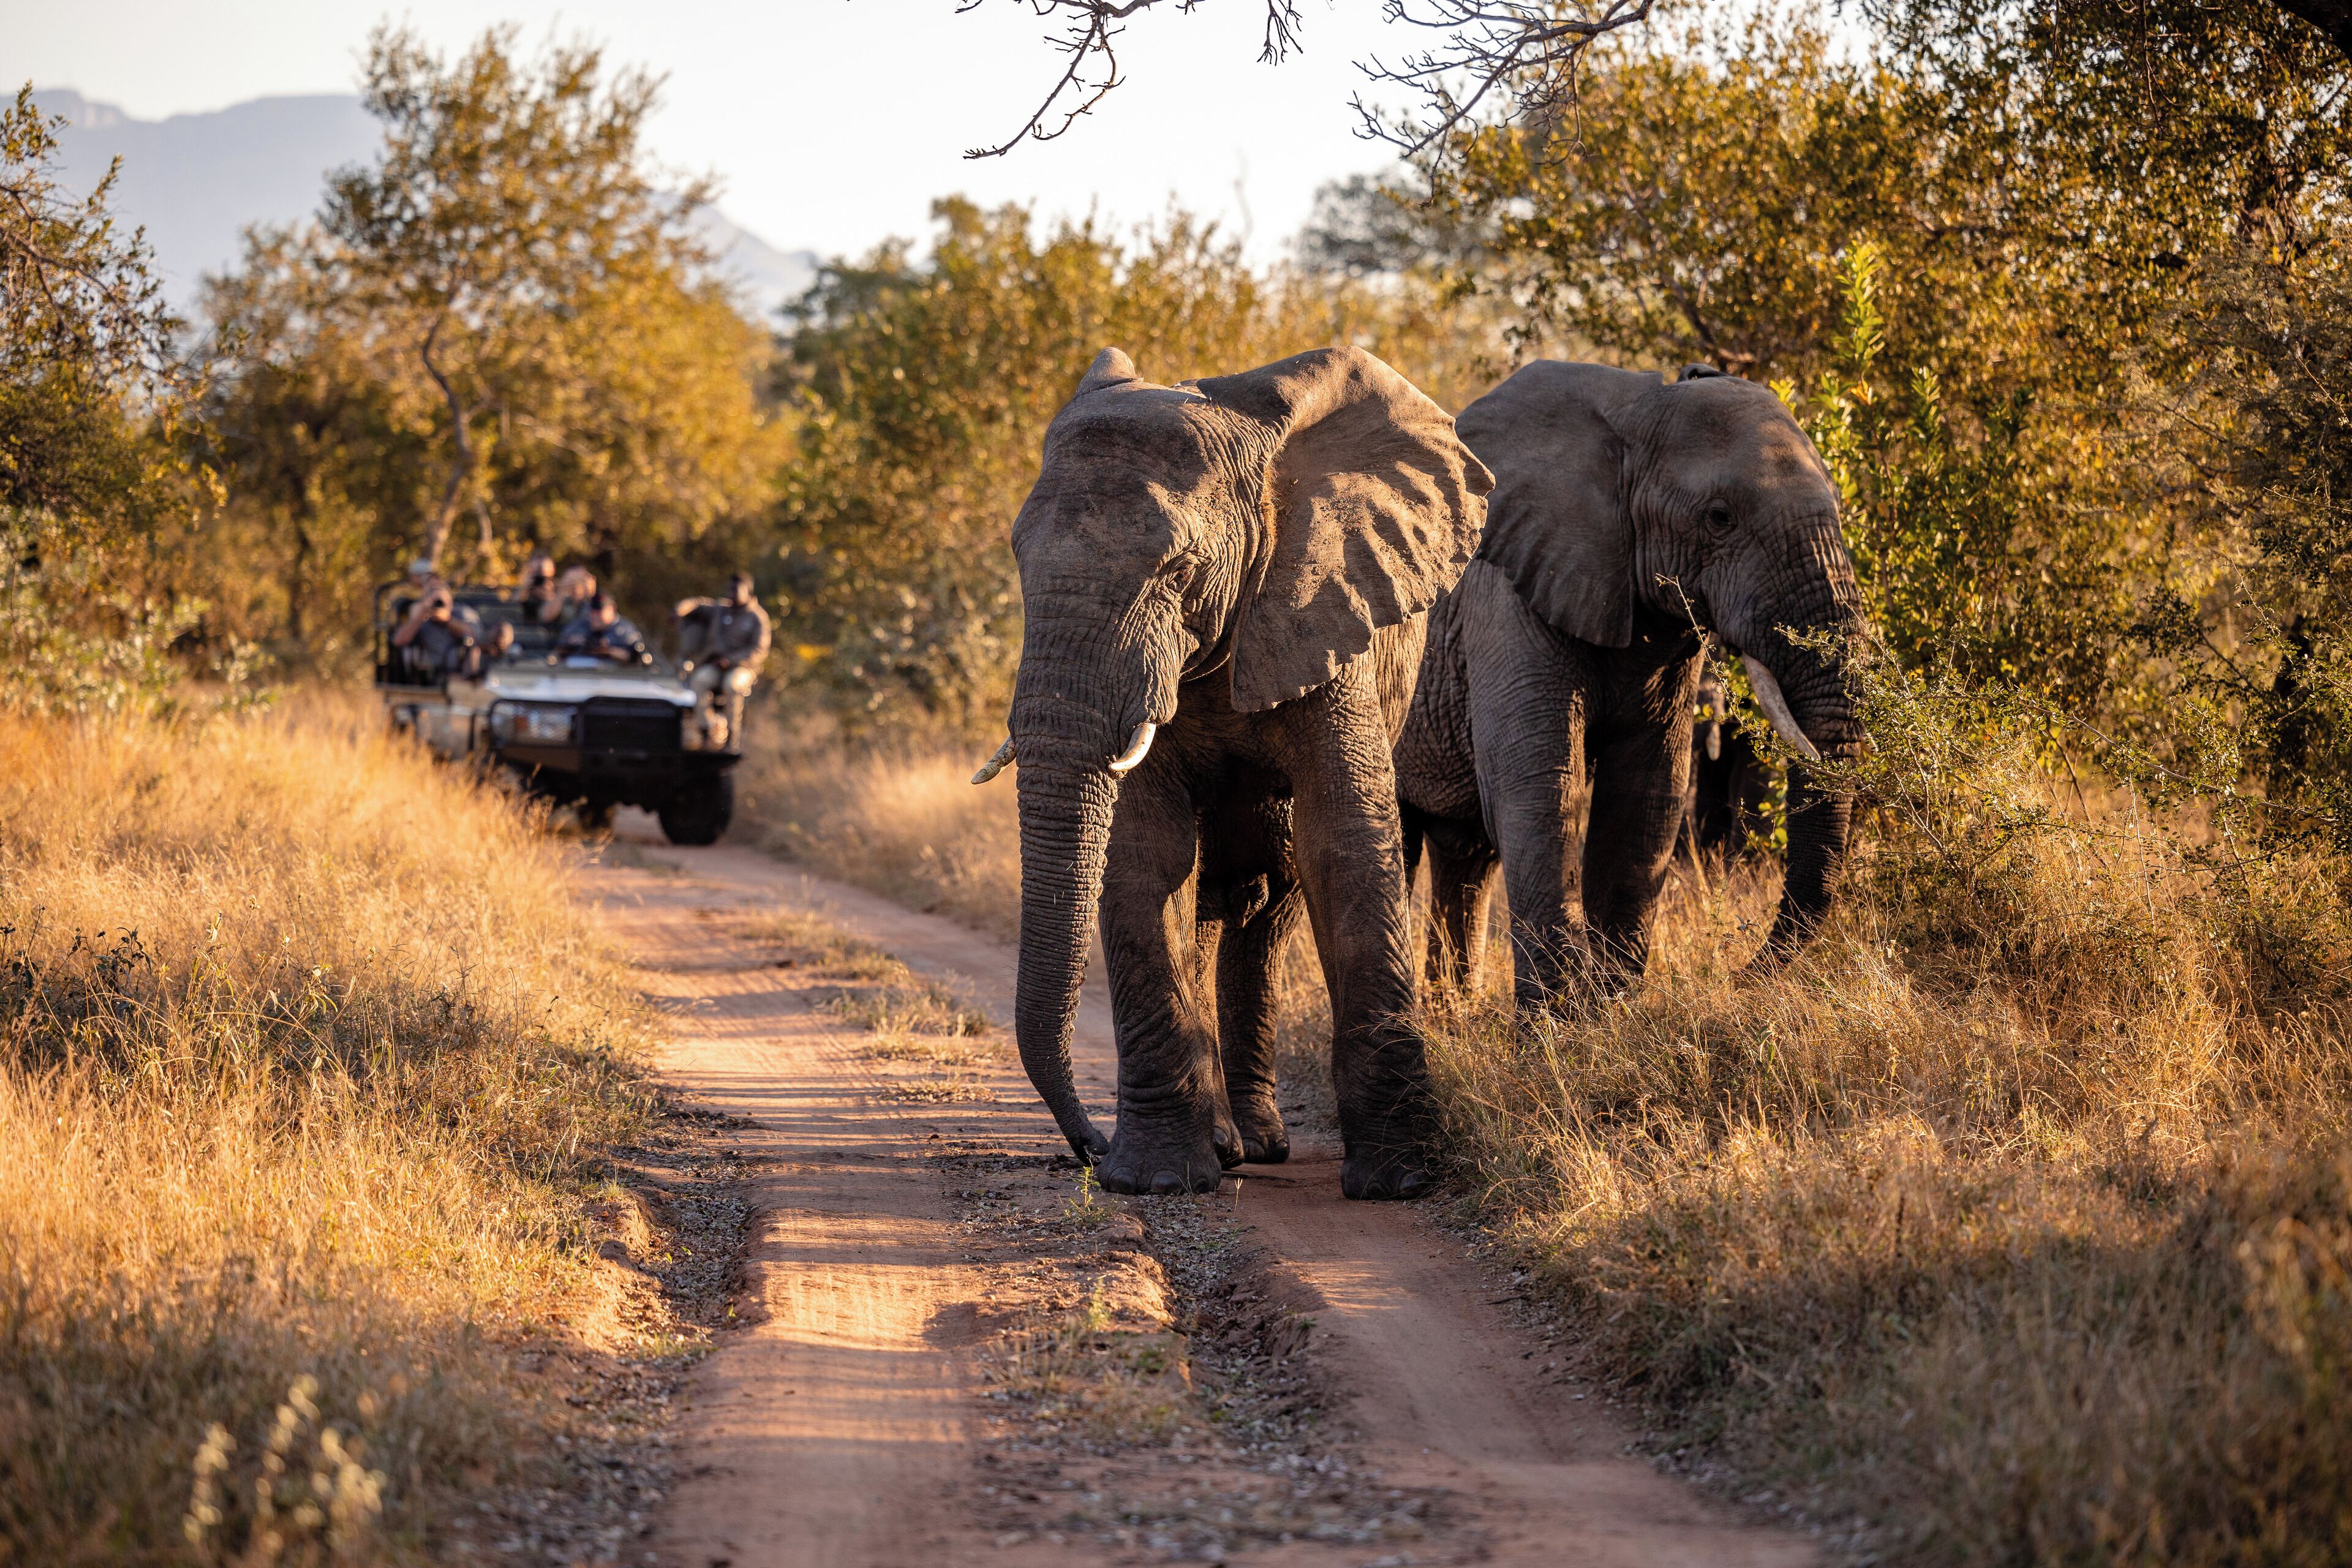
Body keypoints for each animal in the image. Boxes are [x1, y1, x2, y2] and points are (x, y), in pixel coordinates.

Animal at [977, 344, 1492, 1199]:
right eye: (1017, 556)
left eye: (1181, 569)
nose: (1088, 1146)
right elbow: (1146, 854)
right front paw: (1157, 1180)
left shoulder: (1324, 606)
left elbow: (1344, 843)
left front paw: (1402, 1180)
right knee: (1211, 900)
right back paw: (1224, 1146)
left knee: (1270, 904)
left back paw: (1261, 1143)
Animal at [1394, 360, 1864, 1005]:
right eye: (1719, 518)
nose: (1735, 975)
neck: (1631, 419)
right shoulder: (1505, 600)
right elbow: (1542, 785)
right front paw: (1564, 1022)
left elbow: (1647, 790)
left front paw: (1614, 1006)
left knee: (1466, 857)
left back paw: (1453, 1016)